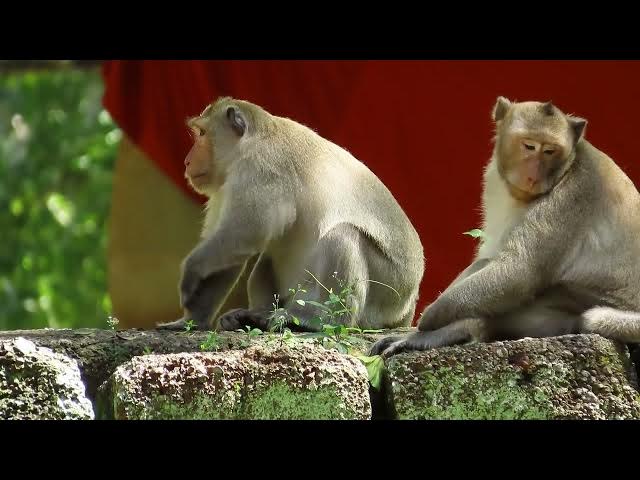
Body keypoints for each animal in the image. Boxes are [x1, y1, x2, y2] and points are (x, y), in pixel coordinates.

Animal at [156, 97, 424, 333]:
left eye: (202, 134)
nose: (187, 161)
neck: (254, 138)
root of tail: (408, 310)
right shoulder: (225, 184)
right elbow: (229, 259)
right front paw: (191, 320)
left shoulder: (262, 168)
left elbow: (247, 232)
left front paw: (192, 269)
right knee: (268, 259)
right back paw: (255, 316)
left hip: (385, 296)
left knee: (343, 236)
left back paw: (315, 320)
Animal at [371, 96, 640, 358]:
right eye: (529, 146)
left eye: (550, 151)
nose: (533, 175)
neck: (567, 167)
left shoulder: (574, 195)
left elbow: (517, 272)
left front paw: (426, 322)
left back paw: (450, 332)